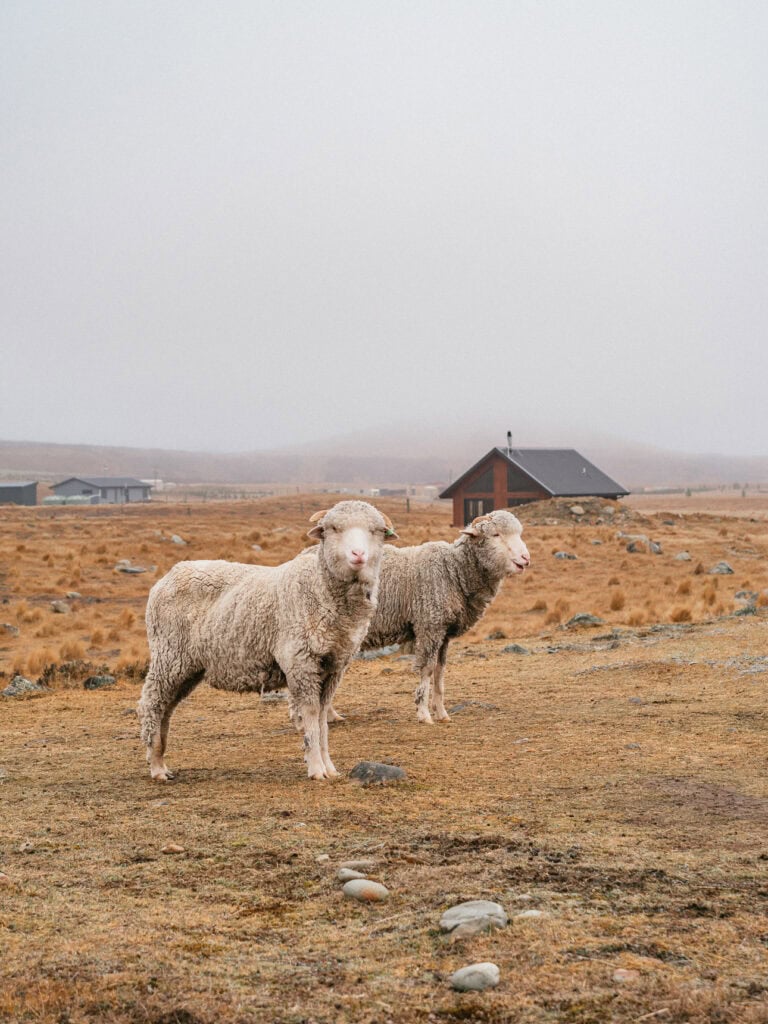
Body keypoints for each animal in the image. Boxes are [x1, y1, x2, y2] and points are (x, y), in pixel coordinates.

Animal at [136, 500, 397, 782]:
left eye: (376, 531)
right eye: (333, 529)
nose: (358, 554)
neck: (320, 589)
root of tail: (169, 576)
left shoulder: (334, 666)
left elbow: (322, 718)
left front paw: (329, 767)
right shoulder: (300, 661)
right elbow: (311, 716)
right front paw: (316, 768)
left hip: (187, 667)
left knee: (166, 708)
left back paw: (162, 760)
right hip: (169, 656)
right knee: (152, 704)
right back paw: (156, 765)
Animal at [321, 510, 530, 724]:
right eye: (495, 534)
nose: (525, 558)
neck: (453, 570)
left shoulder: (443, 633)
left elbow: (439, 671)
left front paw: (442, 713)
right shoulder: (430, 626)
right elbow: (427, 669)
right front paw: (423, 713)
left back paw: (331, 715)